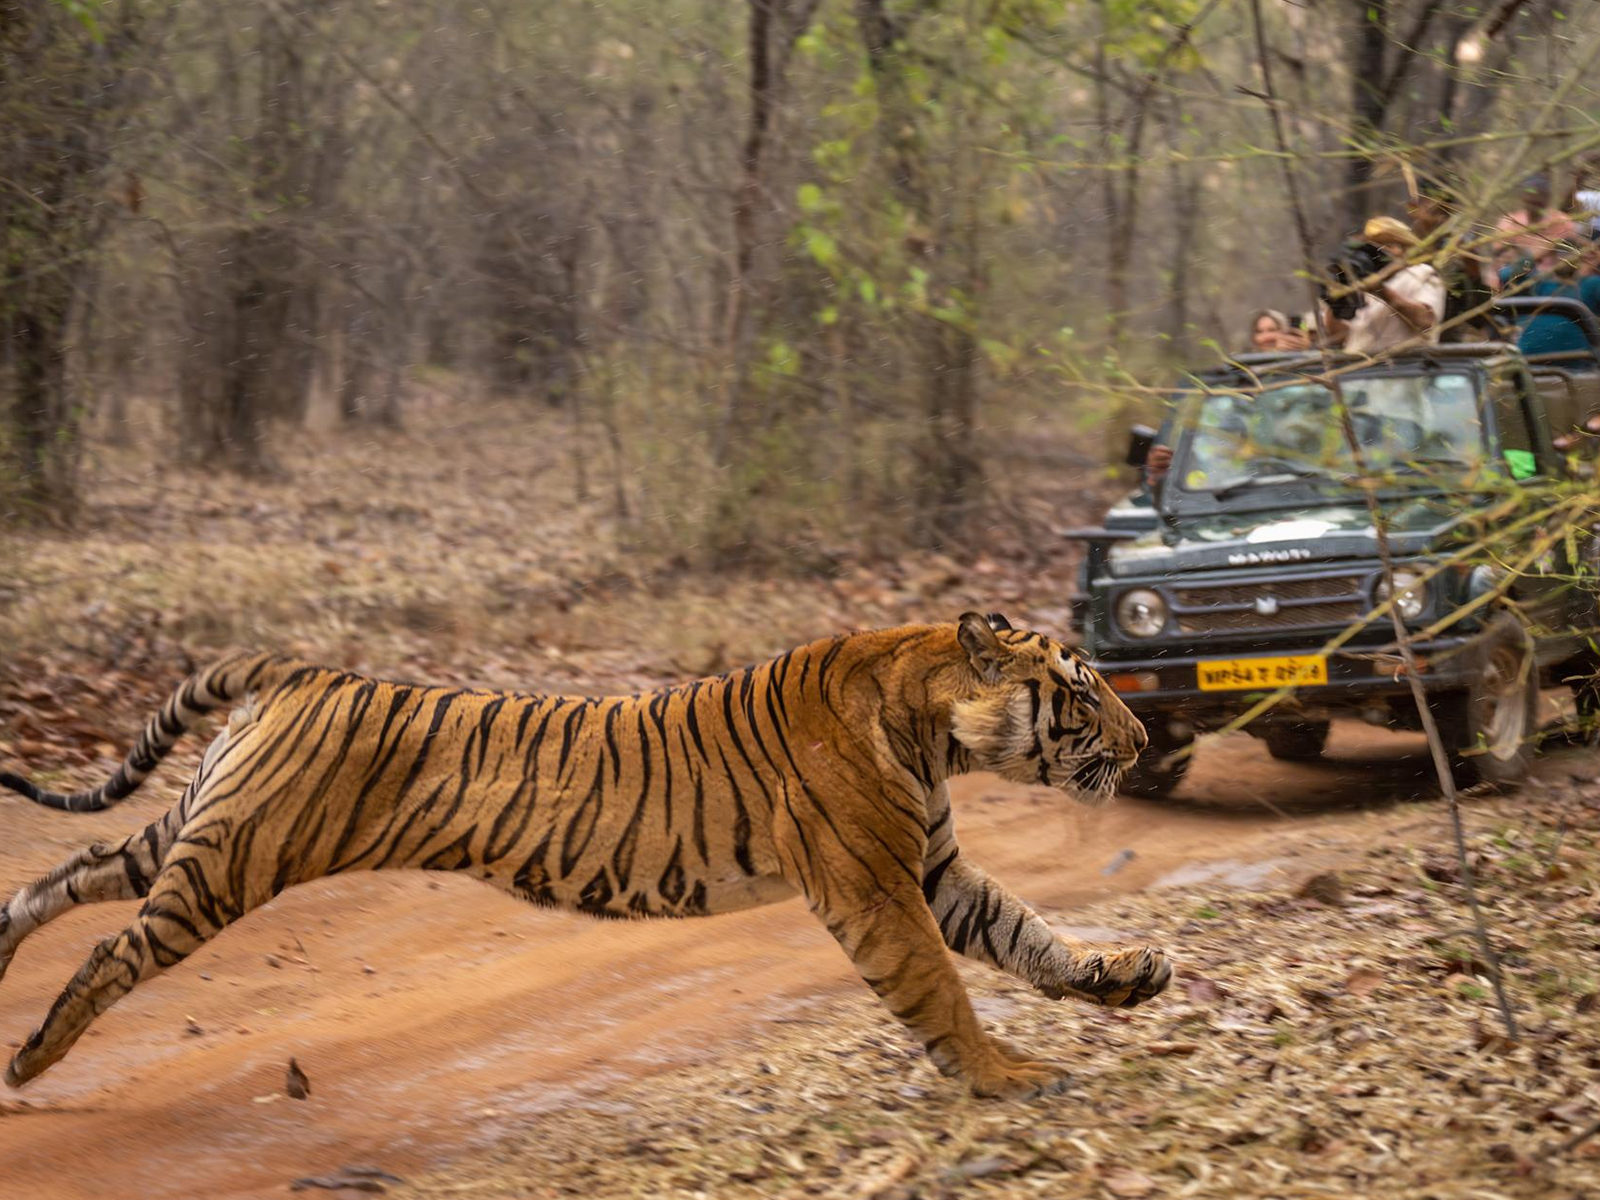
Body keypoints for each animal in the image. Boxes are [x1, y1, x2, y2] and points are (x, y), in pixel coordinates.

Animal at [0, 612, 1168, 1098]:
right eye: (1081, 691)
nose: (1144, 737)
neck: (930, 725)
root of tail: (299, 670)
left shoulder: (928, 866)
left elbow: (1025, 934)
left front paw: (1126, 975)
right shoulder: (878, 890)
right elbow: (943, 989)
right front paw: (1007, 1076)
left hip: (195, 830)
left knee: (67, 870)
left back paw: (4, 950)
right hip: (229, 863)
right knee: (107, 952)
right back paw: (31, 1059)